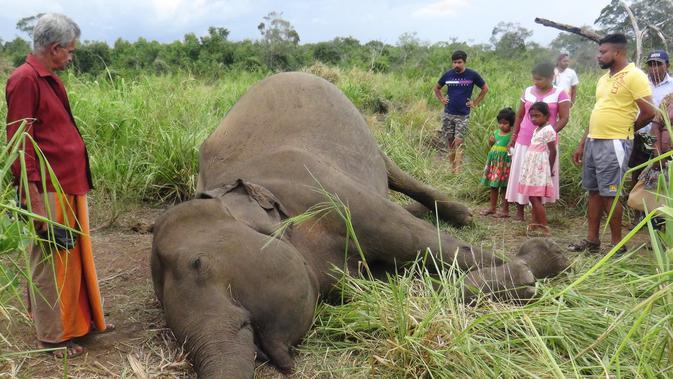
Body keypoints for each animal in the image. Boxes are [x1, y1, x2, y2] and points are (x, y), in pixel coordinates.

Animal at [151, 72, 568, 378]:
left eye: (199, 265)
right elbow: (382, 293)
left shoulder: (327, 192)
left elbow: (416, 240)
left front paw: (539, 261)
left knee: (398, 178)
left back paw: (461, 215)